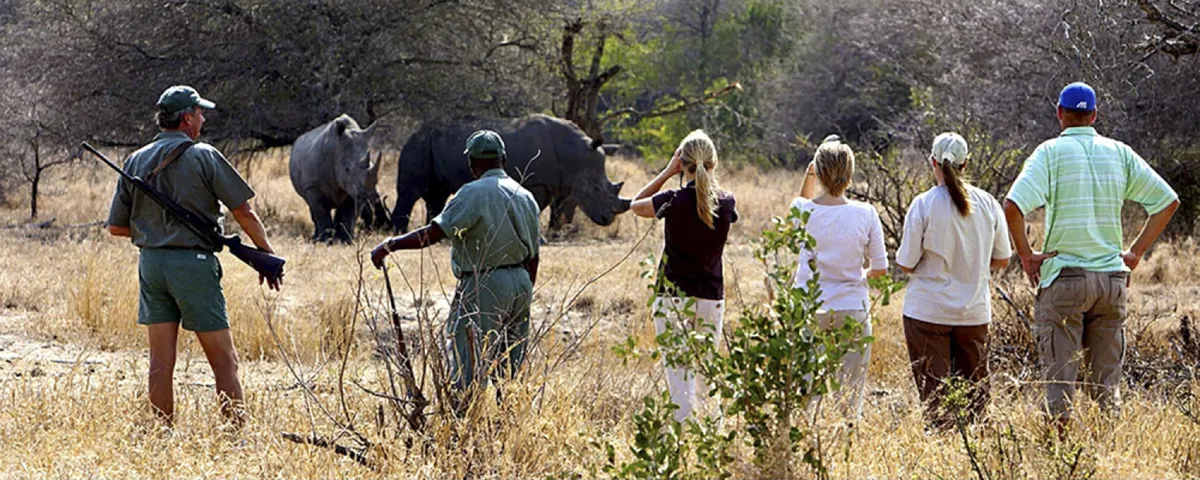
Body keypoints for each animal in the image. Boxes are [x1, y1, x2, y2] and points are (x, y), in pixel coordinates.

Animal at [289, 115, 391, 243]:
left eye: (372, 164)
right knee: (312, 207)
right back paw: (316, 238)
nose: (370, 197)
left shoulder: (353, 189)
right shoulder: (313, 187)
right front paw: (324, 241)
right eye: (347, 169)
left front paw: (345, 241)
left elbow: (347, 214)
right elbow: (321, 212)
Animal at [391, 114, 632, 233]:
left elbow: (561, 206)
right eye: (596, 189)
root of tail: (415, 133)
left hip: (429, 146)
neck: (575, 154)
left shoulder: (563, 182)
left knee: (436, 195)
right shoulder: (537, 182)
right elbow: (540, 205)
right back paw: (397, 232)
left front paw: (558, 230)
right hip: (418, 145)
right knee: (410, 192)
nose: (607, 219)